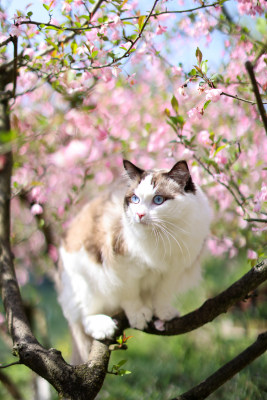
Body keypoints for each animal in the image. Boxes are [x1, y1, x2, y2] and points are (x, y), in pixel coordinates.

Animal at [58, 160, 211, 362]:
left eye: (158, 200)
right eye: (135, 199)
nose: (139, 215)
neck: (161, 236)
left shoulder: (174, 270)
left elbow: (162, 294)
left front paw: (163, 313)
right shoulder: (122, 267)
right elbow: (130, 296)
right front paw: (139, 316)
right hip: (86, 281)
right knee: (84, 316)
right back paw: (103, 326)